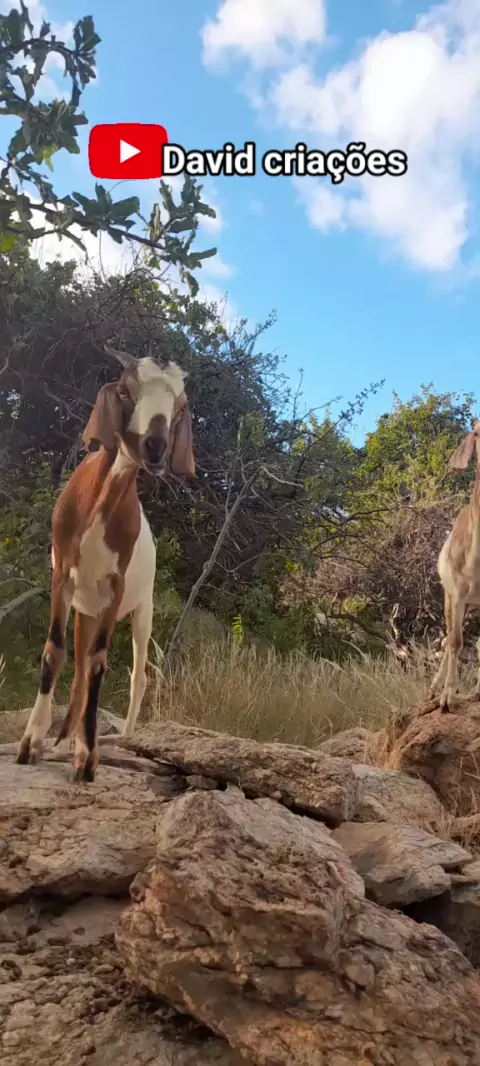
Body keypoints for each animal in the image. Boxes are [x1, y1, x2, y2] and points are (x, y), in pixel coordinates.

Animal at [16, 345, 195, 782]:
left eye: (180, 406)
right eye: (127, 391)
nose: (155, 447)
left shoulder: (116, 588)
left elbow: (99, 664)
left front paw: (87, 755)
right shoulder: (62, 575)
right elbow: (54, 652)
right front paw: (33, 742)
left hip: (140, 609)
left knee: (137, 676)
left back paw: (123, 738)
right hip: (86, 609)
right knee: (79, 668)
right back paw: (63, 737)